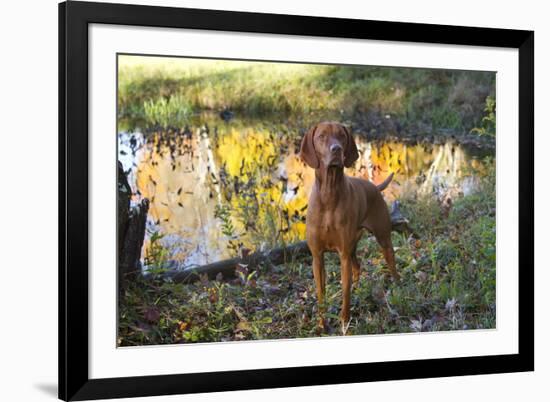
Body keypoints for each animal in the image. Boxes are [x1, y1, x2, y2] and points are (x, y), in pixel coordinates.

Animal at [302, 121, 402, 332]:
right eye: (321, 136)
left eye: (341, 135)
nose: (336, 149)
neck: (329, 194)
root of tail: (374, 187)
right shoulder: (317, 257)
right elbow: (321, 295)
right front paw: (322, 325)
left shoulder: (343, 256)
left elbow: (345, 293)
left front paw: (344, 323)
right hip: (353, 245)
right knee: (358, 266)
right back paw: (358, 288)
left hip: (382, 237)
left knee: (390, 261)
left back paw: (398, 285)